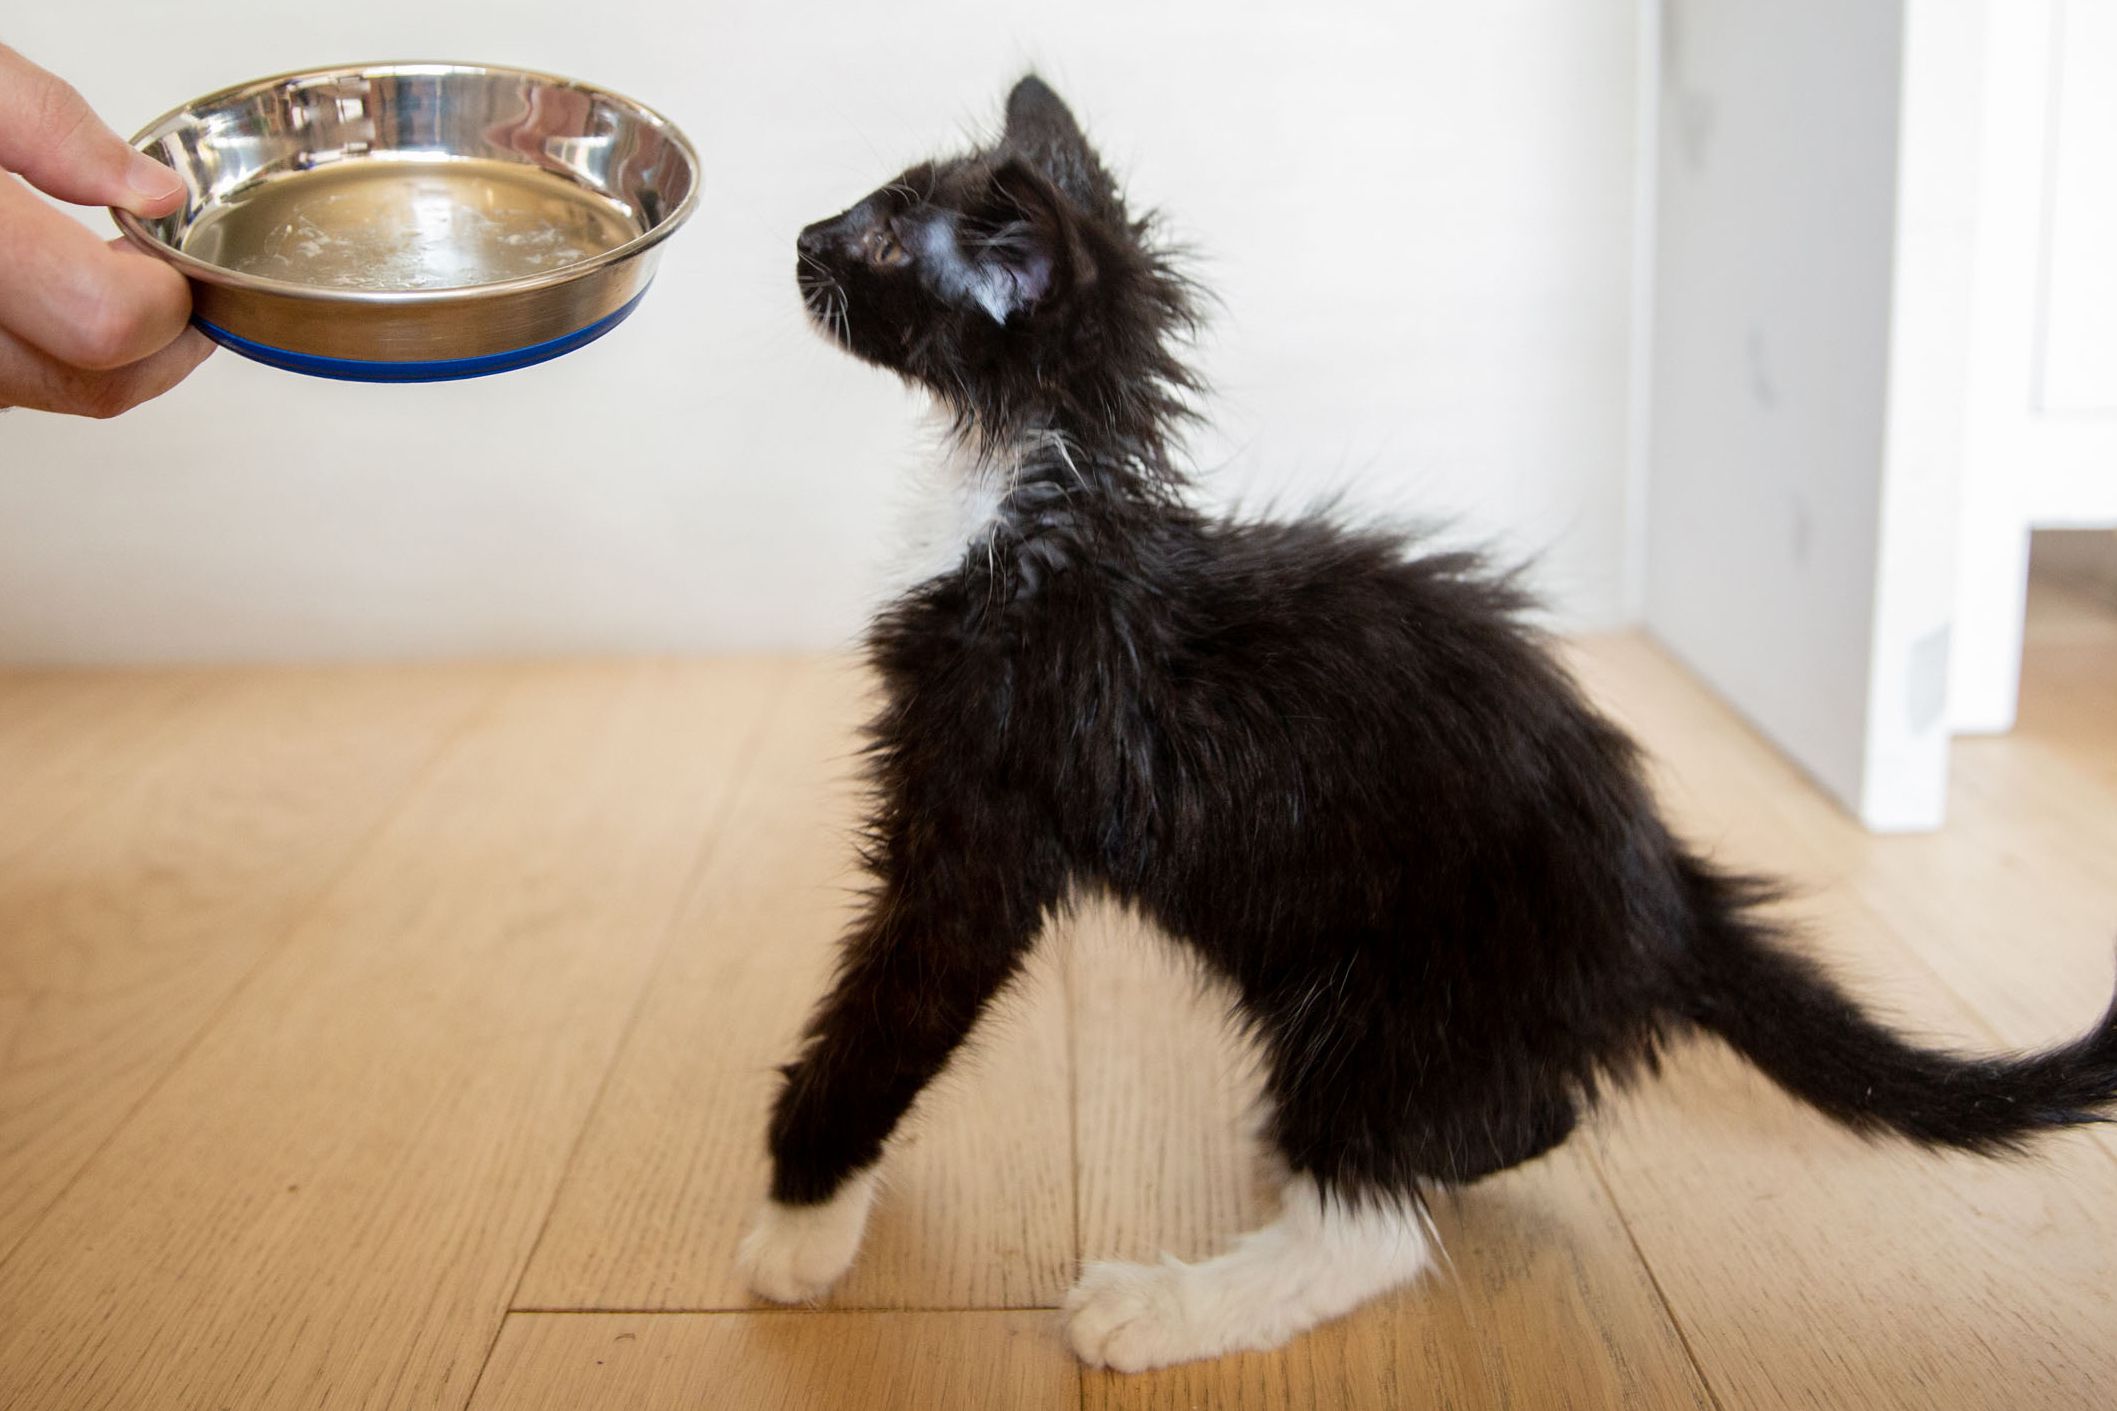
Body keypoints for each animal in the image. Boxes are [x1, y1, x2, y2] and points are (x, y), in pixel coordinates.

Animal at [740, 74, 2117, 1370]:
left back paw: (1161, 1306)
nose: (801, 237)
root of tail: (1667, 893)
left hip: (1386, 992)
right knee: (1500, 1130)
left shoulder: (984, 813)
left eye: (881, 239)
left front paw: (797, 1222)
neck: (1026, 502)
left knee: (1373, 1232)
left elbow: (892, 1005)